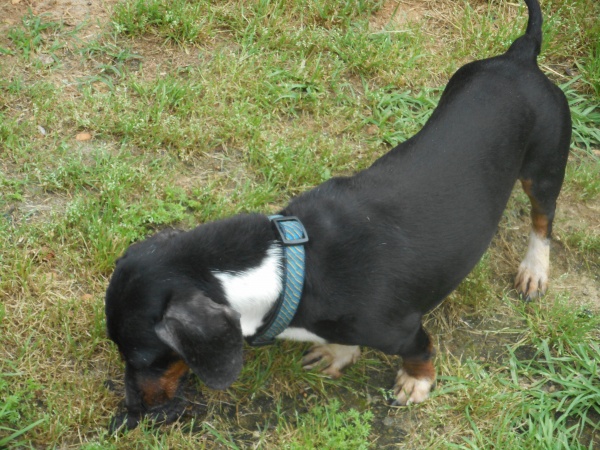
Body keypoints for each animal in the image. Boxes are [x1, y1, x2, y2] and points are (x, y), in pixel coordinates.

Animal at [105, 0, 568, 430]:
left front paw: (415, 384)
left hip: (544, 169)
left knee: (542, 222)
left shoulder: (403, 329)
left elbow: (421, 352)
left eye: (145, 357)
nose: (133, 410)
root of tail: (520, 57)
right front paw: (338, 353)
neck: (290, 265)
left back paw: (534, 270)